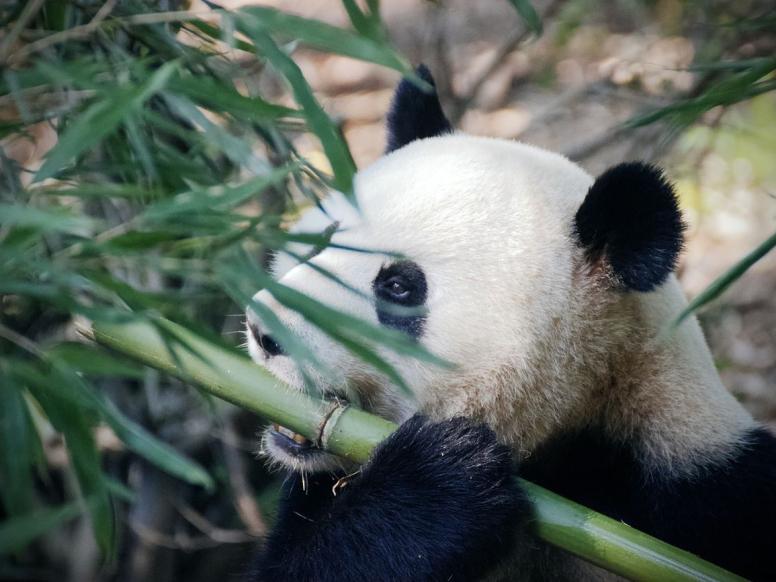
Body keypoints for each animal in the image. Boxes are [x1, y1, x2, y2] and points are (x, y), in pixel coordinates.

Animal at [244, 65, 776, 581]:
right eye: (322, 242)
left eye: (397, 287)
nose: (265, 331)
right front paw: (440, 481)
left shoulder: (706, 492)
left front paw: (441, 475)